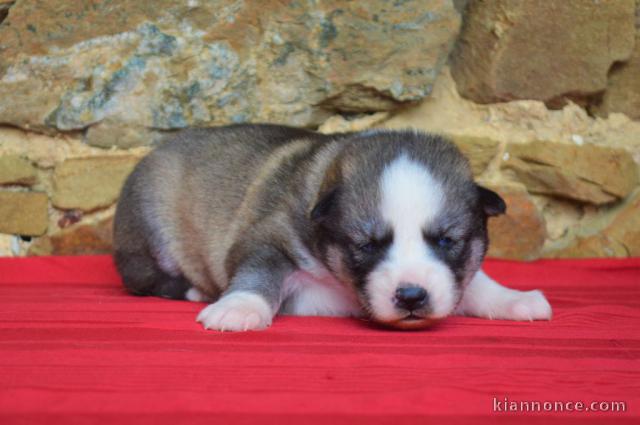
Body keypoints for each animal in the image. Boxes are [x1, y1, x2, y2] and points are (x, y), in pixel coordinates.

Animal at [114, 124, 552, 330]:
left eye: (447, 240)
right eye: (367, 244)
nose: (412, 296)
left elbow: (473, 281)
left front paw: (513, 299)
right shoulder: (268, 238)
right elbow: (258, 274)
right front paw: (238, 307)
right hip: (150, 225)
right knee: (143, 275)